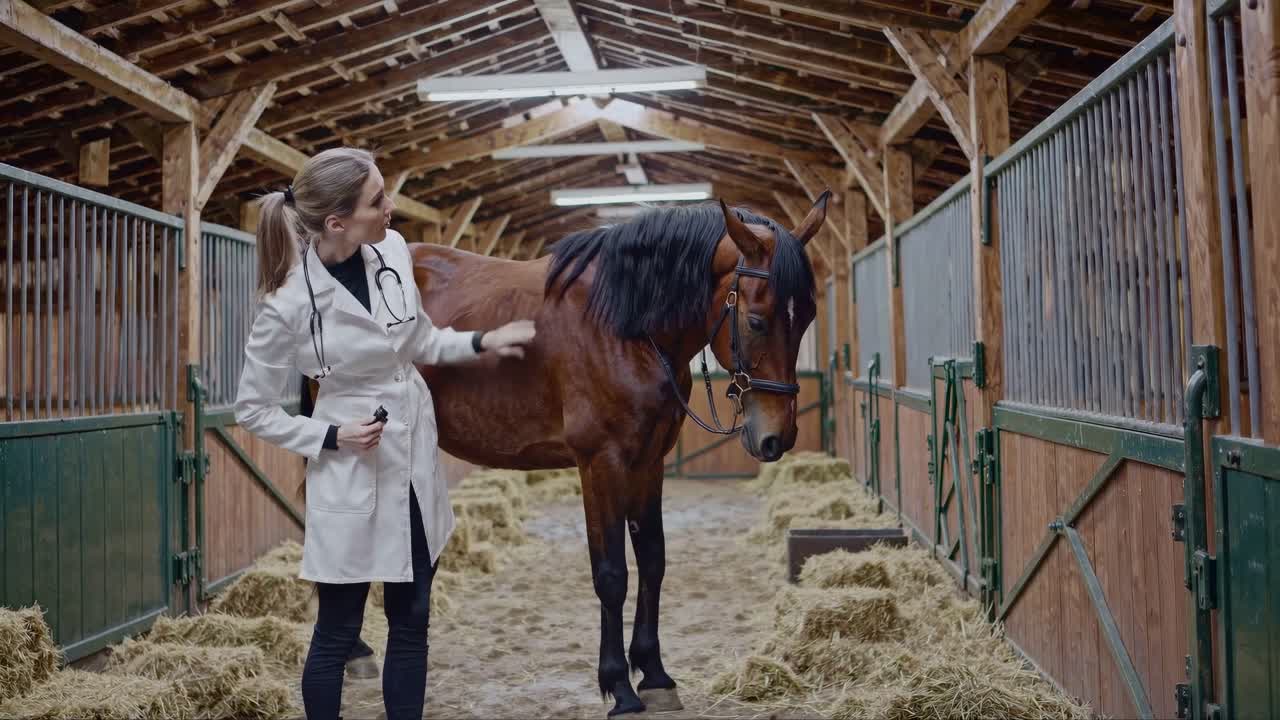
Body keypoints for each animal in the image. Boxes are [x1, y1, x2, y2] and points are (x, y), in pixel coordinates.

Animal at [307, 194, 829, 714]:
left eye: (806, 317)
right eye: (757, 320)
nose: (776, 437)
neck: (624, 326)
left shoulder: (649, 461)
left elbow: (653, 560)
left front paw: (655, 675)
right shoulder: (600, 463)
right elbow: (612, 574)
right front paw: (619, 687)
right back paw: (356, 651)